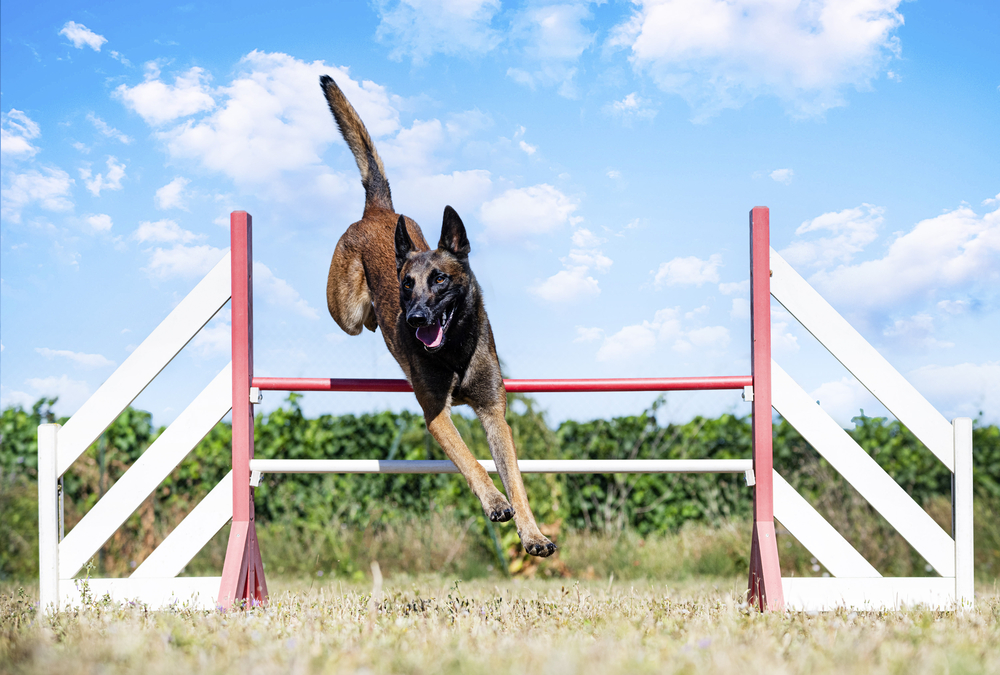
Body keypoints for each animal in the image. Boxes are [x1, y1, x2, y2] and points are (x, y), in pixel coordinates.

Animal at [318, 75, 556, 560]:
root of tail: (378, 210)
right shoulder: (436, 416)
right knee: (352, 317)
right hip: (344, 310)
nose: (413, 317)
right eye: (407, 284)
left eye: (441, 280)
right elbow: (471, 461)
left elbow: (517, 481)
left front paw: (531, 532)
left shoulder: (494, 415)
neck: (455, 349)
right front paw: (494, 501)